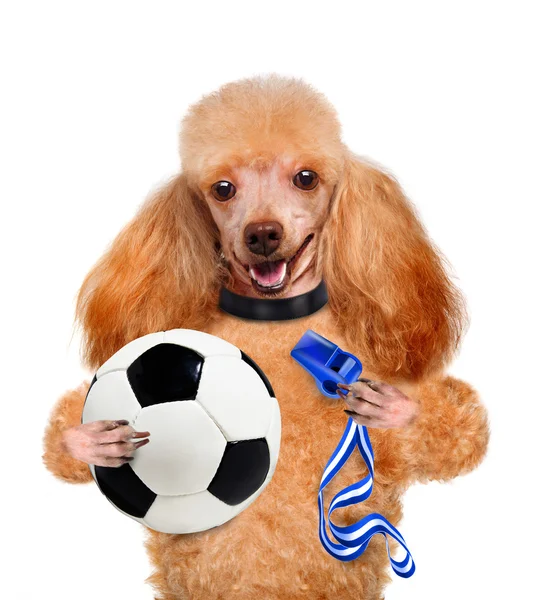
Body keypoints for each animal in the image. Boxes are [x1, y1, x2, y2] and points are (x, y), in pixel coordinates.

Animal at [43, 76, 492, 600]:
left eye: (306, 178)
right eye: (222, 189)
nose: (261, 234)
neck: (272, 315)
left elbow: (455, 433)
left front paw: (394, 408)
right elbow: (67, 427)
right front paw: (88, 442)